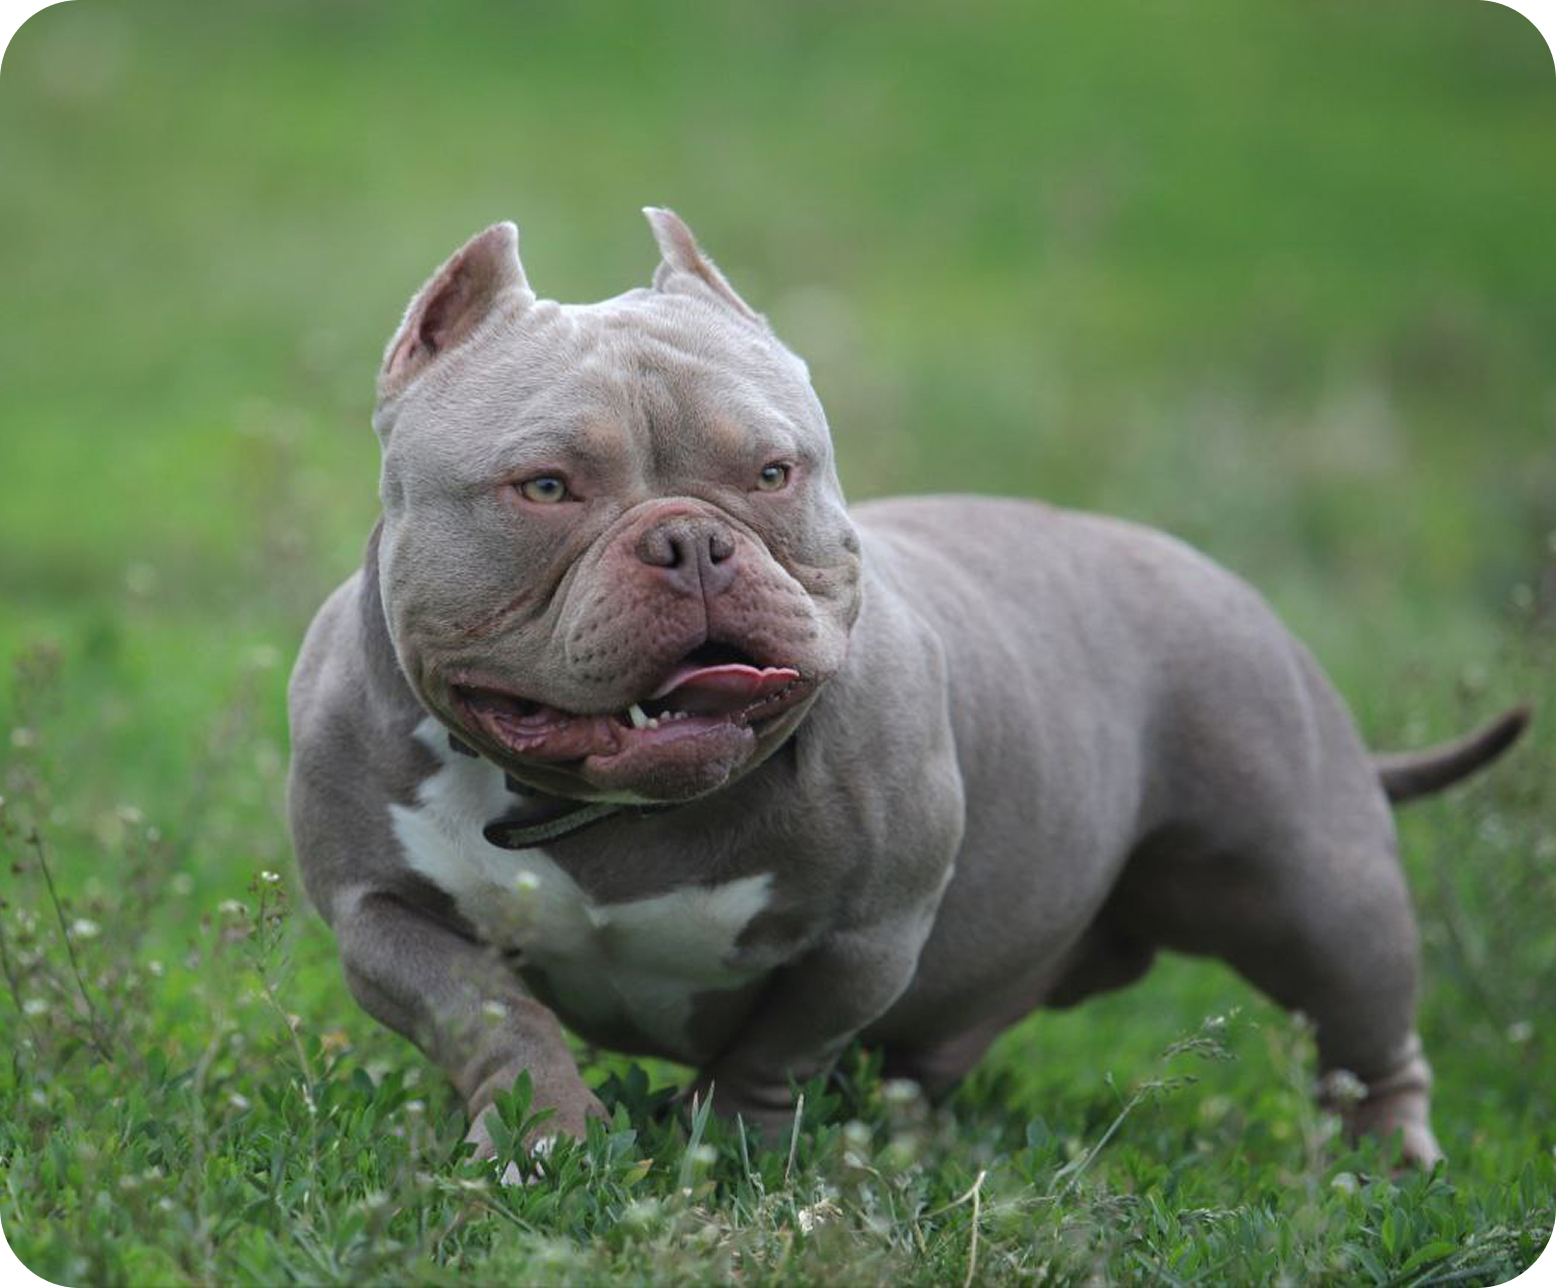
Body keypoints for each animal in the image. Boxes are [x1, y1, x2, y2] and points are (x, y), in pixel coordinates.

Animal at [287, 210, 1527, 1170]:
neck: (603, 818)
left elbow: (774, 1048)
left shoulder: (867, 935)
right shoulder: (377, 915)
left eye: (772, 472)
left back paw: (1386, 1161)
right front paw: (548, 1134)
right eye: (544, 486)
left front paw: (722, 1146)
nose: (693, 543)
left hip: (1313, 890)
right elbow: (486, 1013)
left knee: (1367, 1037)